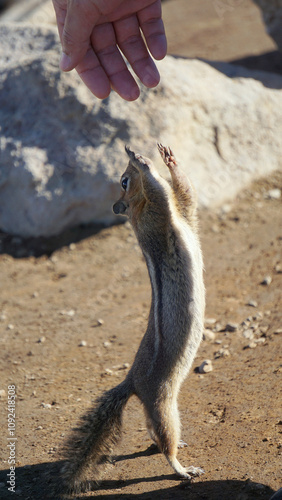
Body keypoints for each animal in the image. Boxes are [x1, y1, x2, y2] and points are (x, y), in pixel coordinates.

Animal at [60, 144, 205, 492]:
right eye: (124, 181)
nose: (131, 155)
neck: (136, 212)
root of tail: (132, 381)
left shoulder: (184, 213)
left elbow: (186, 192)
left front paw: (168, 159)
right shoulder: (159, 214)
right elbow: (161, 190)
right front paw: (145, 161)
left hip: (160, 407)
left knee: (156, 435)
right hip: (163, 405)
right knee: (165, 444)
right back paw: (183, 470)